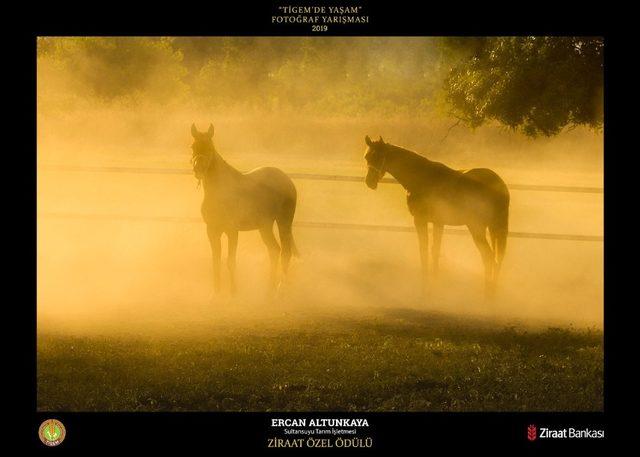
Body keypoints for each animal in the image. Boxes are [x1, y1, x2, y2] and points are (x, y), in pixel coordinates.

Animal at [190, 123, 300, 298]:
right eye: (193, 147)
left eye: (210, 148)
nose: (198, 169)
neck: (219, 191)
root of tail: (287, 180)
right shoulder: (212, 231)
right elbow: (216, 261)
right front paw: (216, 294)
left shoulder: (232, 231)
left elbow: (230, 261)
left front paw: (234, 293)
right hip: (265, 227)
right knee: (274, 251)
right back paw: (269, 289)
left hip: (284, 223)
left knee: (285, 252)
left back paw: (280, 289)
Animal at [364, 135, 510, 298]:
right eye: (367, 157)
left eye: (379, 156)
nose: (369, 182)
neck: (421, 178)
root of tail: (500, 185)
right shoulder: (438, 223)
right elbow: (435, 252)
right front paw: (434, 288)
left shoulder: (420, 220)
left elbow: (424, 251)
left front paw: (425, 290)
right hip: (491, 228)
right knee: (496, 260)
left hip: (477, 228)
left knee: (489, 258)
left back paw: (486, 296)